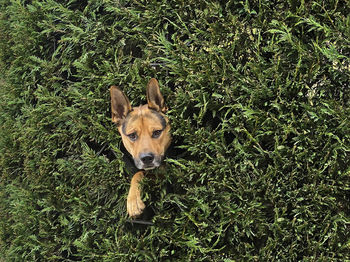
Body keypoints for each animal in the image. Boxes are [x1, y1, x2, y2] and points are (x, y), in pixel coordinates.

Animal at [108, 79, 170, 218]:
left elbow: (140, 172)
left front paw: (133, 200)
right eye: (132, 135)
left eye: (157, 132)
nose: (146, 158)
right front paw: (133, 199)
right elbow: (138, 173)